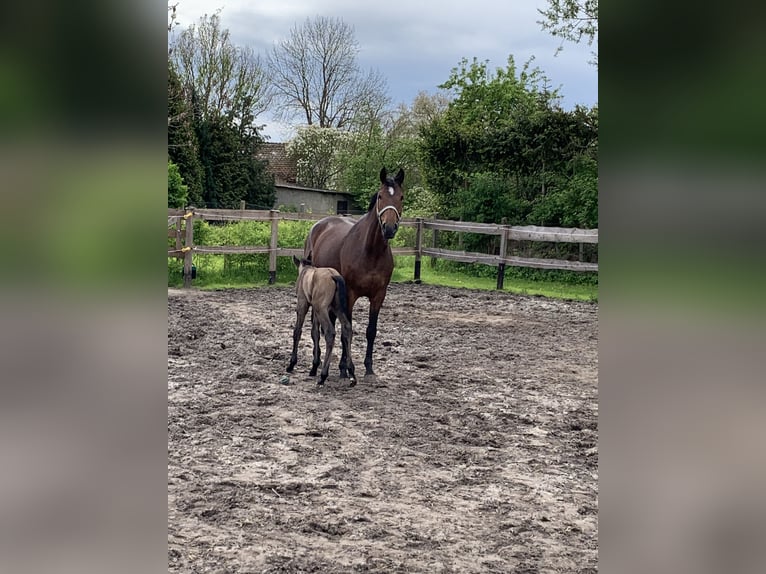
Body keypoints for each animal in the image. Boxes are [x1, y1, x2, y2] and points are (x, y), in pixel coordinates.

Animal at [288, 258, 356, 388]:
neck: (306, 271)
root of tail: (334, 276)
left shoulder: (302, 305)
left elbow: (297, 331)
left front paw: (291, 364)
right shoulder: (315, 311)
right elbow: (315, 333)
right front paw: (314, 367)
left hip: (322, 309)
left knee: (330, 333)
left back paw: (323, 376)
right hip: (336, 308)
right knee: (347, 328)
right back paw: (351, 373)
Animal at [304, 168, 404, 382]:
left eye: (401, 196)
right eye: (380, 196)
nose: (389, 228)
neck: (371, 251)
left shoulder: (378, 296)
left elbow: (371, 331)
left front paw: (368, 368)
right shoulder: (350, 295)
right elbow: (346, 330)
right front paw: (345, 368)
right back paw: (318, 361)